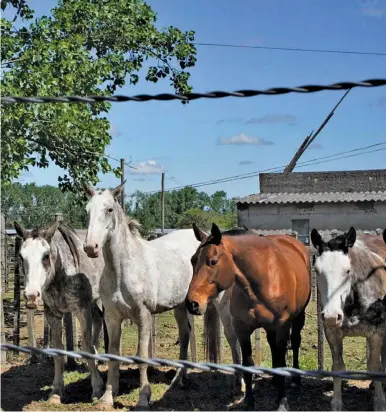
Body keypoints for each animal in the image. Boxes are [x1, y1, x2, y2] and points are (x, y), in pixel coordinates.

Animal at [82, 183, 240, 408]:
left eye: (109, 209)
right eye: (87, 210)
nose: (90, 247)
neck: (123, 269)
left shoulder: (144, 316)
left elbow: (142, 356)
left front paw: (143, 399)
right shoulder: (112, 317)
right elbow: (113, 354)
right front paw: (106, 398)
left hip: (221, 304)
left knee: (232, 336)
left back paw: (238, 385)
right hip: (181, 305)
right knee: (185, 334)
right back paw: (178, 380)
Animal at [185, 224, 312, 410]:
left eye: (213, 261)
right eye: (193, 260)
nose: (192, 303)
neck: (262, 281)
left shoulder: (282, 326)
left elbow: (281, 361)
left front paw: (282, 402)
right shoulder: (242, 329)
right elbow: (248, 365)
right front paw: (249, 402)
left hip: (298, 318)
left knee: (295, 342)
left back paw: (295, 380)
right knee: (273, 346)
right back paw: (275, 380)